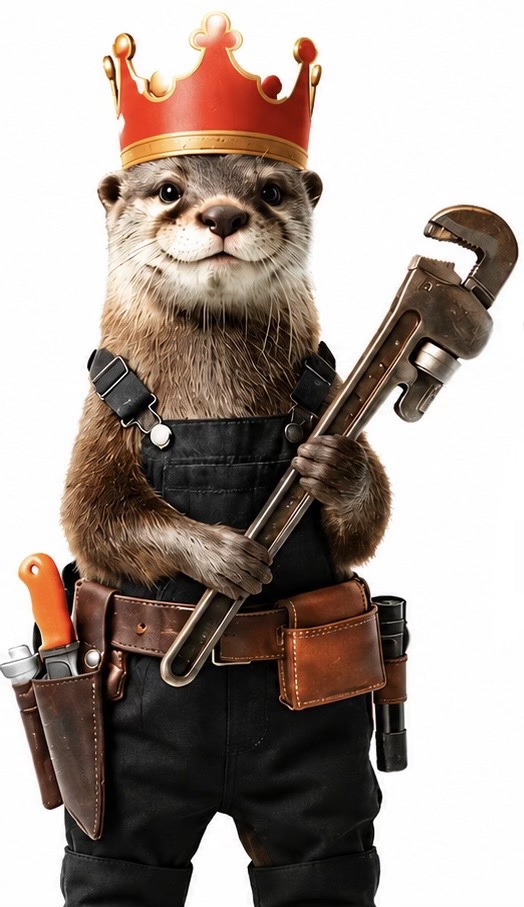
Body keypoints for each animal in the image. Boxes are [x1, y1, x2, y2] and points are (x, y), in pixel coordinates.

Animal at [61, 153, 391, 599]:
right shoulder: (101, 423)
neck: (215, 396)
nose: (223, 215)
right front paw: (224, 557)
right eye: (168, 190)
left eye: (271, 191)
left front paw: (337, 464)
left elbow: (368, 527)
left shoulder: (330, 395)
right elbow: (94, 516)